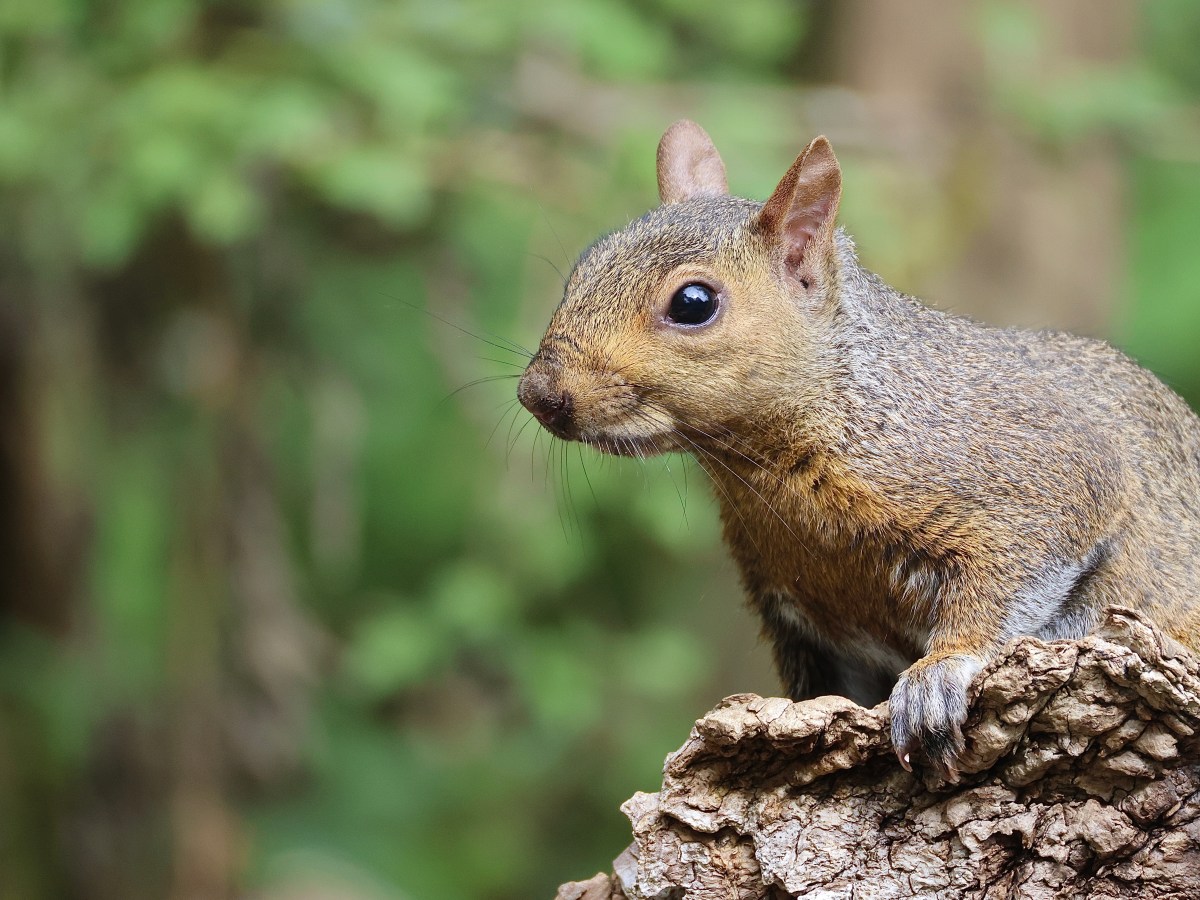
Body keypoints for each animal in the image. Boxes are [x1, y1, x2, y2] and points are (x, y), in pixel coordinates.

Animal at [516, 120, 1200, 780]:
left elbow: (1016, 574)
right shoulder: (804, 617)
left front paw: (940, 673)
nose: (538, 394)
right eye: (585, 264)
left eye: (693, 302)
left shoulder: (1043, 471)